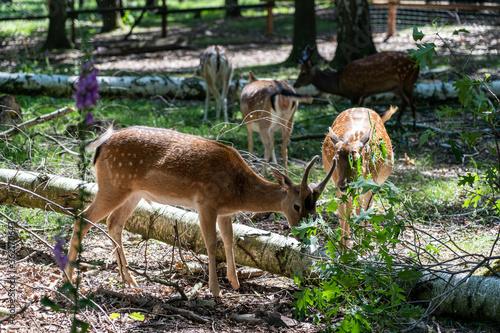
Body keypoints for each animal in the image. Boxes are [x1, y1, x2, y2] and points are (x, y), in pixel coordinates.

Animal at [64, 124, 334, 296]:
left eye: (315, 209)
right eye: (297, 206)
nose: (305, 235)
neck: (237, 190)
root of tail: (99, 147)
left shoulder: (225, 212)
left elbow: (229, 240)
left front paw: (235, 283)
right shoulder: (206, 202)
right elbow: (211, 243)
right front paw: (215, 291)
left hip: (133, 193)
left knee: (113, 223)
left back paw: (128, 279)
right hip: (113, 185)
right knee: (83, 218)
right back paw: (68, 275)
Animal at [322, 106, 396, 246]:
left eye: (357, 160)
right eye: (335, 159)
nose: (343, 185)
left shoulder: (371, 186)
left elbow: (362, 216)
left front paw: (361, 246)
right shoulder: (339, 188)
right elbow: (344, 220)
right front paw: (344, 248)